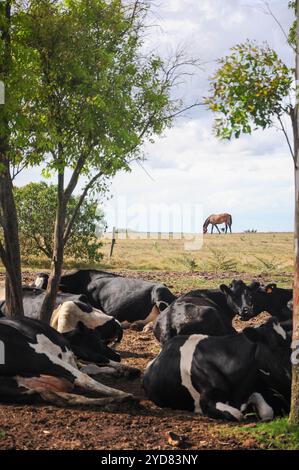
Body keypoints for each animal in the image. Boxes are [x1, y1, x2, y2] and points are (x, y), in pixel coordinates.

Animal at [0, 316, 135, 408]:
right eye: (100, 340)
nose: (118, 356)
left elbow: (90, 366)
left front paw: (118, 370)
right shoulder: (73, 350)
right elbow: (97, 358)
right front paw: (127, 369)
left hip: (14, 388)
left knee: (63, 397)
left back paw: (121, 399)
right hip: (37, 355)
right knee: (83, 379)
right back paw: (121, 393)